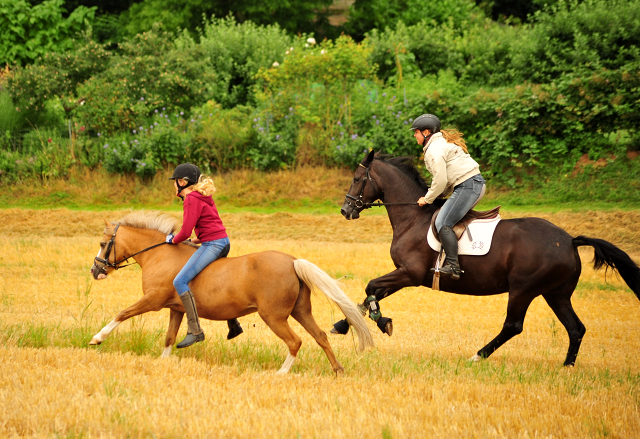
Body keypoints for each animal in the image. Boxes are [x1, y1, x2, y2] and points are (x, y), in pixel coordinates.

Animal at [87, 211, 372, 372]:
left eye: (102, 243)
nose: (95, 270)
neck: (159, 254)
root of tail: (292, 261)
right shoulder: (176, 308)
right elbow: (169, 338)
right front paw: (164, 362)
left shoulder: (153, 300)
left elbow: (123, 313)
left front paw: (97, 338)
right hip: (301, 311)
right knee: (320, 336)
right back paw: (337, 370)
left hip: (274, 316)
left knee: (295, 342)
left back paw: (281, 373)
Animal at [338, 151, 636, 368]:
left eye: (357, 178)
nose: (345, 210)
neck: (412, 217)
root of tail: (570, 240)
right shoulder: (404, 274)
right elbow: (370, 293)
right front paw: (345, 324)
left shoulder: (410, 273)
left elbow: (371, 287)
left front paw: (380, 321)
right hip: (556, 293)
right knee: (576, 329)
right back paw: (567, 367)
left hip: (523, 289)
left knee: (513, 326)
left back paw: (478, 355)